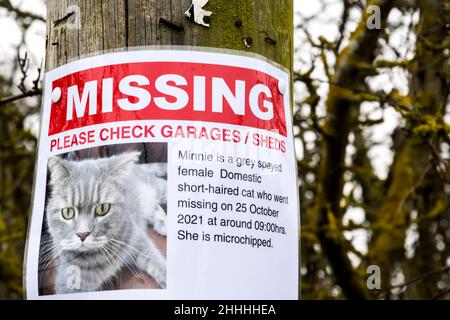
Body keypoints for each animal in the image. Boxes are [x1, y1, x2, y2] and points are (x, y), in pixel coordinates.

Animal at [45, 151, 167, 294]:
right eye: (68, 212)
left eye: (102, 209)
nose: (82, 234)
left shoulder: (137, 238)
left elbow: (155, 261)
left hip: (156, 187)